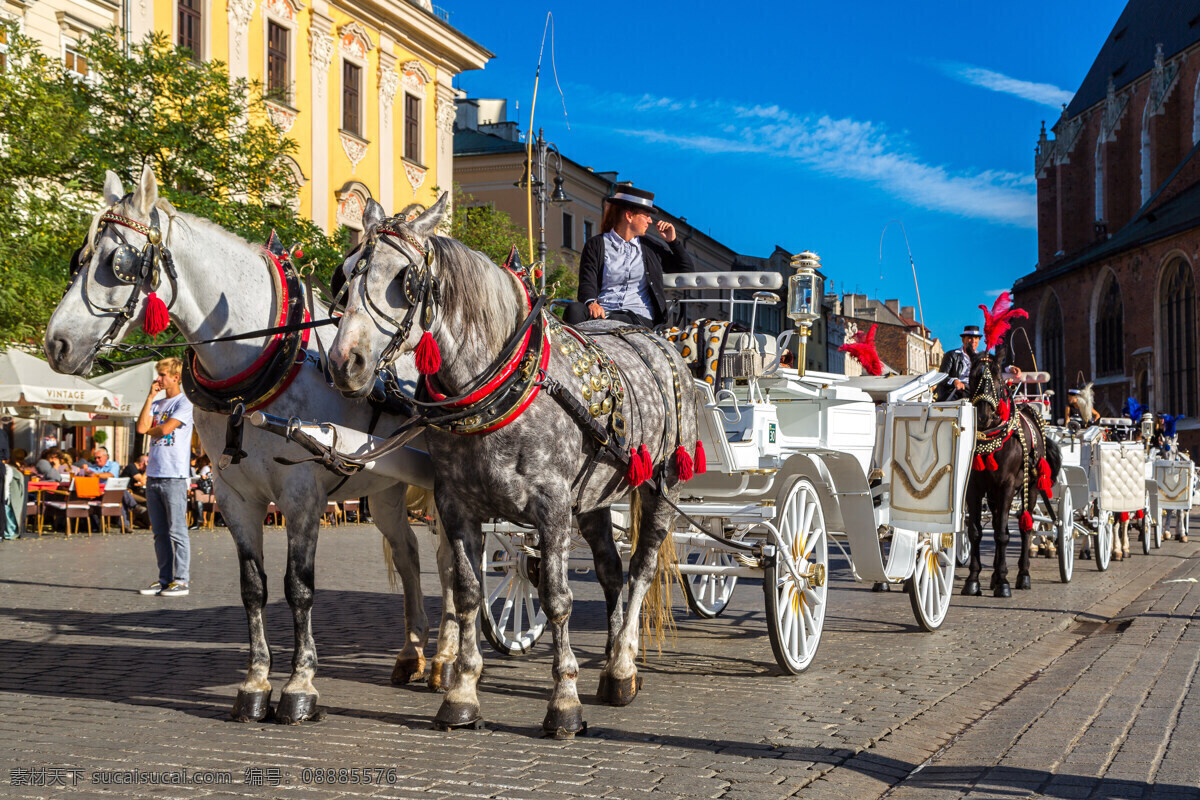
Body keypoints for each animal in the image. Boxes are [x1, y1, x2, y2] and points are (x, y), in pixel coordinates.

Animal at [44, 164, 451, 724]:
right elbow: (253, 588)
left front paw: (300, 686)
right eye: (79, 258)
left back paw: (447, 661)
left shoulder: (301, 494)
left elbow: (298, 588)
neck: (262, 359)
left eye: (117, 263)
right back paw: (412, 653)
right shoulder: (235, 495)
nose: (55, 344)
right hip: (386, 488)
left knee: (452, 563)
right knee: (409, 554)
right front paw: (256, 683)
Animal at [328, 194, 700, 738]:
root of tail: (654, 338)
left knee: (641, 571)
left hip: (661, 485)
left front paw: (564, 703)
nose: (344, 363)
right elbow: (467, 594)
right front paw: (461, 693)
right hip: (593, 498)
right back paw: (612, 662)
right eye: (346, 272)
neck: (498, 385)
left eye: (404, 279)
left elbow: (557, 598)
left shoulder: (552, 508)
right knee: (611, 572)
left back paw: (624, 664)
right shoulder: (457, 507)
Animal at [960, 347, 1065, 597]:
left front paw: (1004, 583)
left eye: (998, 376)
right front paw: (974, 580)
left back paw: (1022, 576)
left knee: (1025, 528)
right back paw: (996, 576)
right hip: (994, 495)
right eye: (973, 376)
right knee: (1002, 523)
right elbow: (976, 531)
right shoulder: (974, 488)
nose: (982, 416)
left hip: (1031, 488)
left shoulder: (1007, 485)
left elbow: (1001, 535)